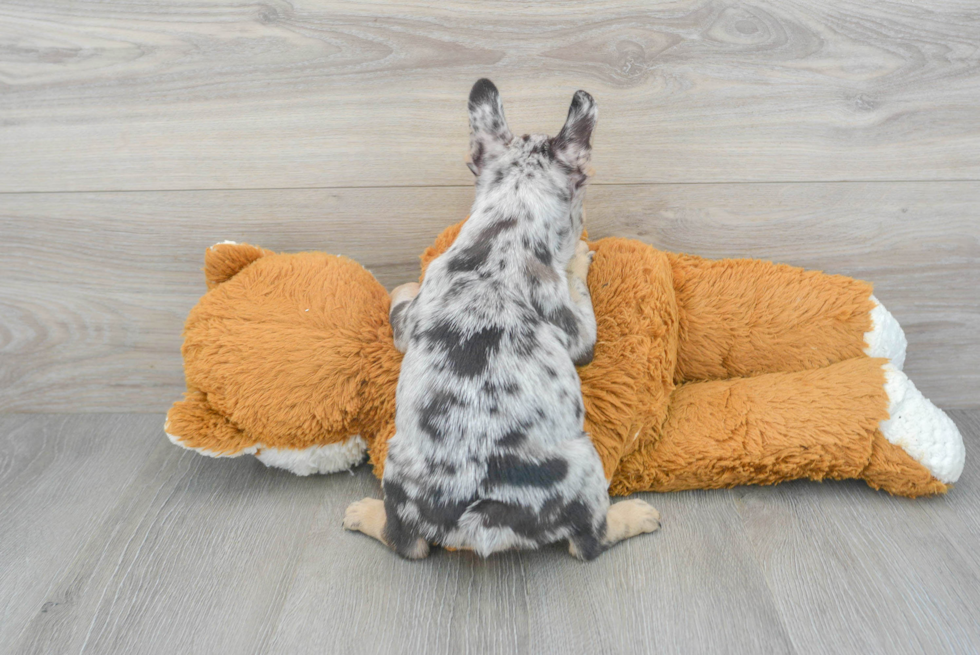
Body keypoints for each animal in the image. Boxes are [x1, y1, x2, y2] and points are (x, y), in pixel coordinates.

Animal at [344, 77, 660, 560]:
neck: (507, 223)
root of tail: (480, 522)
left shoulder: (412, 316)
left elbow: (401, 306)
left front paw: (401, 288)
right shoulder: (581, 335)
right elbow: (579, 290)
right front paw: (578, 258)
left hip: (400, 460)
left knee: (406, 541)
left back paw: (365, 512)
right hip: (584, 463)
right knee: (587, 541)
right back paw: (635, 515)